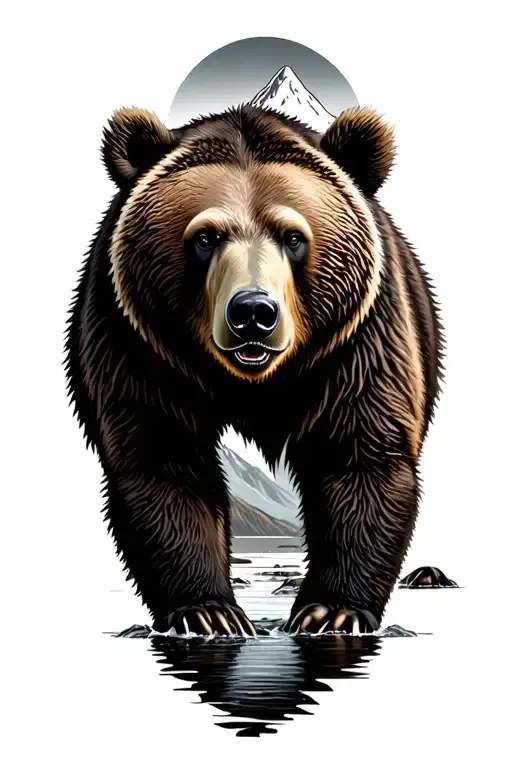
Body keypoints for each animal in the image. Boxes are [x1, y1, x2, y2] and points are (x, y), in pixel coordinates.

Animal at [65, 103, 443, 636]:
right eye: (205, 236)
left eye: (293, 236)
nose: (252, 313)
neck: (253, 383)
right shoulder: (137, 339)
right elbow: (164, 460)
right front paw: (208, 611)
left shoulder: (360, 341)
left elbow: (359, 456)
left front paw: (333, 609)